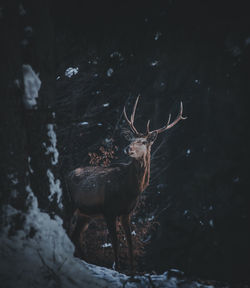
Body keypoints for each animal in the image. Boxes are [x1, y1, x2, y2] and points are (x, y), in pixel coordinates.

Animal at [67, 96, 187, 272]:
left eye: (143, 141)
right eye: (131, 139)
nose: (127, 148)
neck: (129, 190)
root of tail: (67, 174)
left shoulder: (127, 213)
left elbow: (129, 242)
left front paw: (132, 270)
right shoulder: (108, 210)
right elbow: (115, 242)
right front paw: (117, 268)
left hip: (85, 214)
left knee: (76, 236)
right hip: (68, 203)